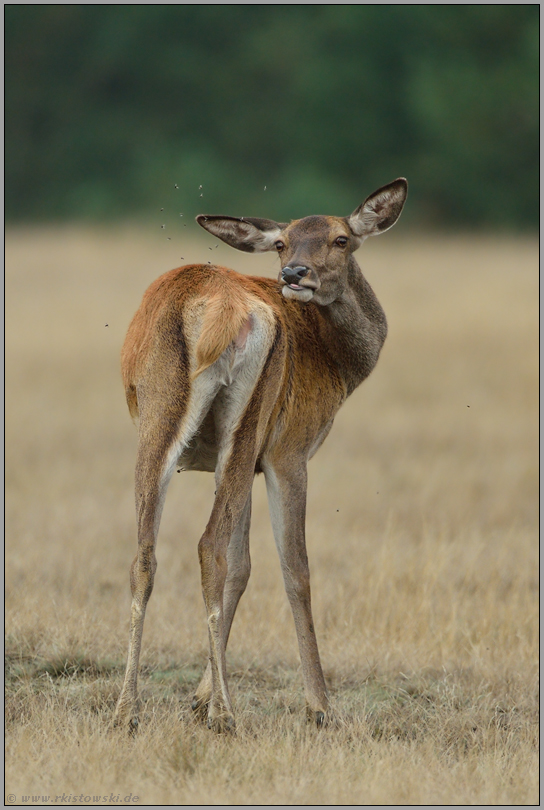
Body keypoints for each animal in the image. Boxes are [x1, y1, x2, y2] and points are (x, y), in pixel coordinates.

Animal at [115, 177, 408, 732]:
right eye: (282, 243)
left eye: (340, 239)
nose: (294, 273)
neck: (338, 366)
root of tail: (215, 309)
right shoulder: (287, 452)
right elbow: (295, 568)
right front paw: (319, 705)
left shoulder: (237, 464)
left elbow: (243, 565)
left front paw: (199, 695)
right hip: (249, 418)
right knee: (208, 545)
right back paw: (227, 716)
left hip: (160, 420)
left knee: (146, 552)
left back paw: (128, 710)